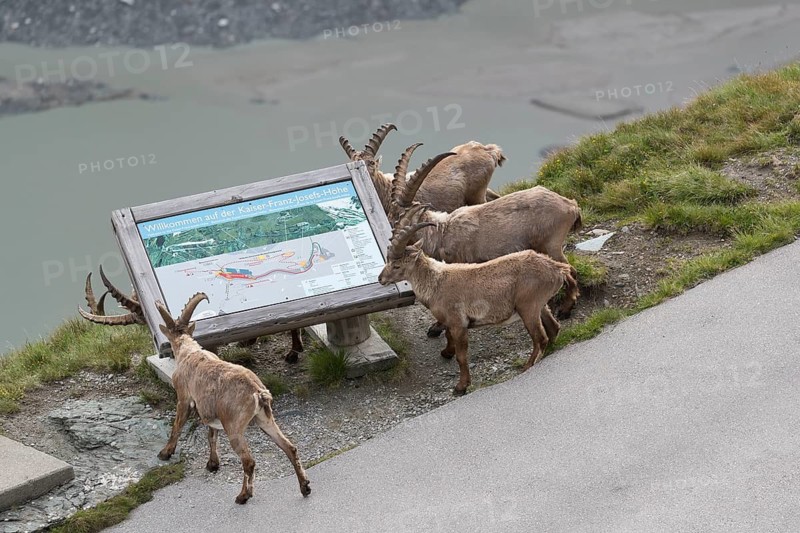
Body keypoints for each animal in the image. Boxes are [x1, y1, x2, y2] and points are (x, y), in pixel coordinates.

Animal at [154, 293, 312, 504]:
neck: (189, 352)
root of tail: (258, 392)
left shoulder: (184, 398)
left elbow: (177, 427)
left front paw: (165, 453)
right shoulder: (209, 412)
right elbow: (211, 435)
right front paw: (212, 464)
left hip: (233, 427)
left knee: (249, 461)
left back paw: (243, 496)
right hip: (265, 419)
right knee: (290, 448)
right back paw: (304, 487)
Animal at [378, 205, 579, 395]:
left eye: (396, 265)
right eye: (387, 260)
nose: (380, 279)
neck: (436, 282)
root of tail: (557, 269)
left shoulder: (459, 323)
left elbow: (462, 357)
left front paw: (461, 387)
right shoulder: (450, 322)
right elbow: (448, 337)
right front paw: (446, 352)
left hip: (528, 307)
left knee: (540, 337)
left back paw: (527, 365)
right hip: (540, 306)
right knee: (553, 328)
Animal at [388, 144, 583, 337]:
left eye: (398, 218)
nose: (391, 240)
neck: (442, 233)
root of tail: (570, 205)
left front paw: (437, 328)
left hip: (551, 244)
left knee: (571, 270)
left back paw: (566, 309)